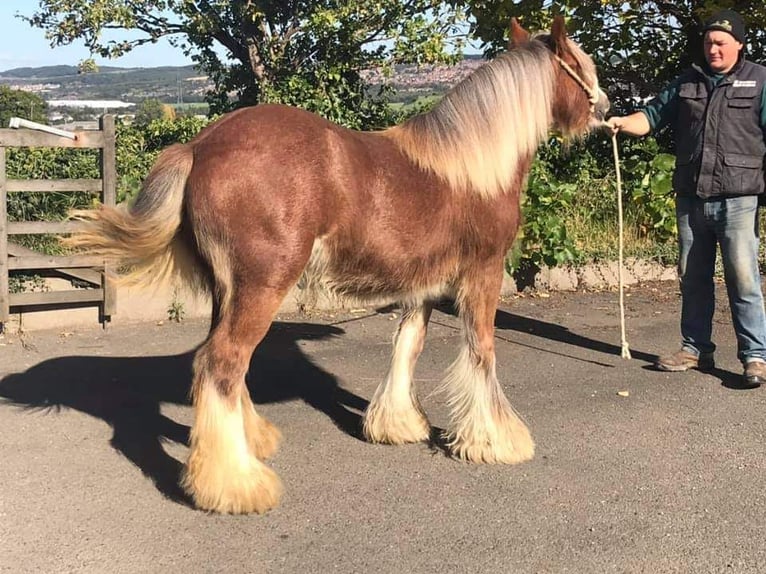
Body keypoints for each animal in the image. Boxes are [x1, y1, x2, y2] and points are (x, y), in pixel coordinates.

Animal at [67, 15, 612, 516]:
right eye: (581, 65)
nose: (604, 110)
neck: (470, 167)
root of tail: (198, 147)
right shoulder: (483, 272)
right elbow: (482, 349)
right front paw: (496, 440)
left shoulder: (422, 286)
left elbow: (408, 345)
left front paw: (398, 425)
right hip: (264, 283)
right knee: (222, 362)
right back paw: (238, 486)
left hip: (229, 289)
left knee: (222, 363)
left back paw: (251, 444)